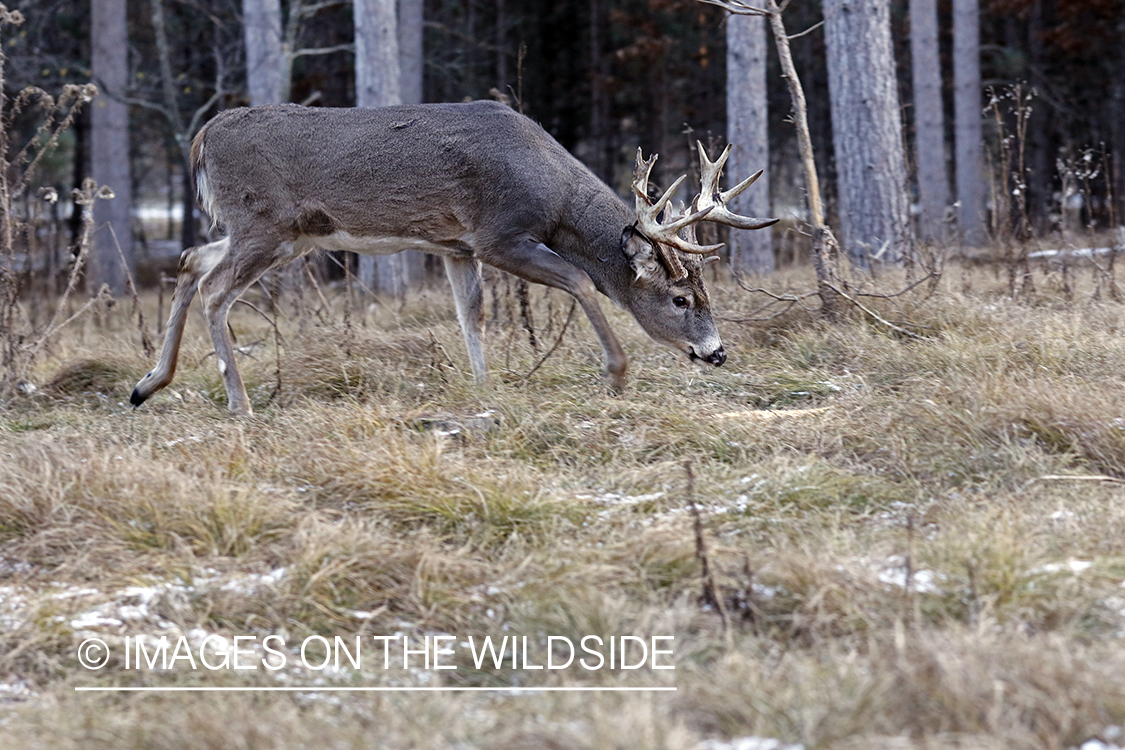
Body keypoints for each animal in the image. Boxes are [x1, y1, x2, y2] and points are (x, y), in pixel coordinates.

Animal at [131, 101, 778, 416]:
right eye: (680, 298)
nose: (717, 353)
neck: (550, 190)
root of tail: (202, 138)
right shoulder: (498, 233)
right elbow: (577, 278)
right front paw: (615, 373)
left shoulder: (456, 246)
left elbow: (473, 314)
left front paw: (485, 388)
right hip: (263, 224)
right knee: (215, 290)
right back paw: (238, 402)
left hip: (282, 234)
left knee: (189, 259)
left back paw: (148, 384)